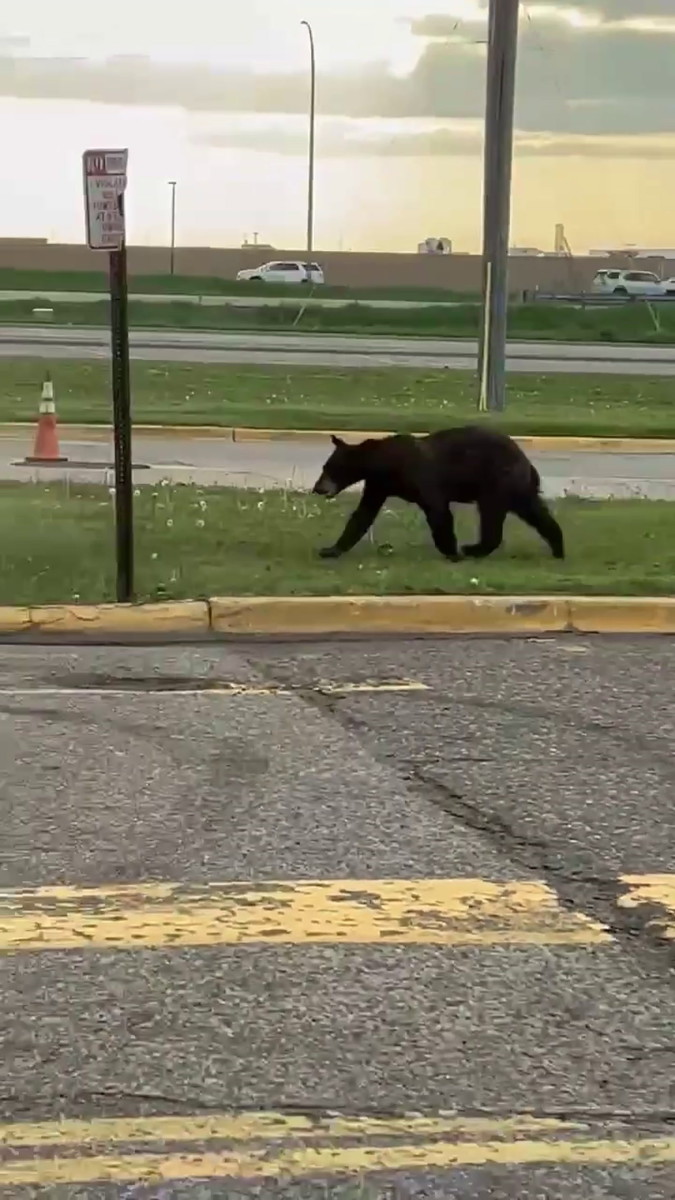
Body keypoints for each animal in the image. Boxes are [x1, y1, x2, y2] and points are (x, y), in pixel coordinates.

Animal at [309, 427, 562, 561]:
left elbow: (438, 510)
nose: (317, 488)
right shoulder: (379, 484)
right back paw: (558, 548)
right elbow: (363, 513)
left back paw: (472, 549)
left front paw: (452, 552)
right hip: (519, 489)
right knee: (536, 513)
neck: (383, 462)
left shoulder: (422, 478)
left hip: (498, 481)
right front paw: (331, 549)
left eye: (328, 468)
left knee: (491, 514)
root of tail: (527, 462)